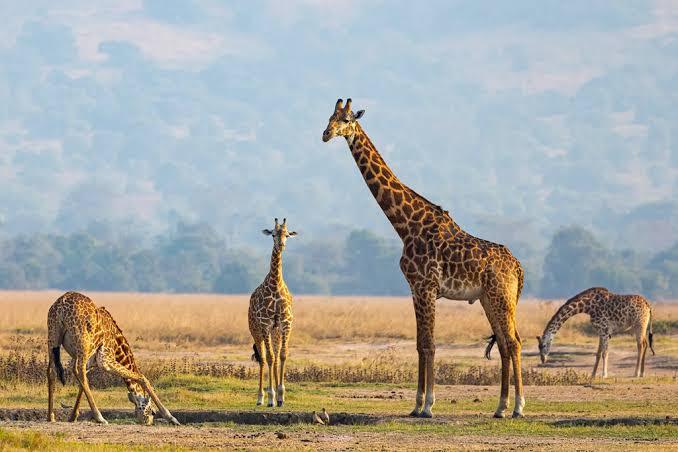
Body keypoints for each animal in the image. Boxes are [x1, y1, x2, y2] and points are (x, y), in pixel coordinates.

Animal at [47, 291, 180, 425]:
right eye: (151, 411)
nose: (149, 421)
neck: (116, 345)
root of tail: (61, 305)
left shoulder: (87, 360)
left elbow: (80, 385)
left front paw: (72, 417)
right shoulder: (104, 359)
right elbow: (142, 377)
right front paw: (171, 417)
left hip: (53, 338)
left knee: (52, 371)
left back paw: (50, 416)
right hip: (82, 342)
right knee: (78, 371)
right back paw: (100, 417)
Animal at [248, 218, 297, 407]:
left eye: (287, 235)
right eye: (273, 234)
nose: (281, 245)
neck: (275, 285)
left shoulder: (285, 324)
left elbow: (282, 355)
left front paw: (281, 395)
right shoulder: (265, 325)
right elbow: (268, 358)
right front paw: (270, 397)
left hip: (275, 332)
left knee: (275, 357)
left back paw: (275, 395)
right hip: (256, 331)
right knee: (263, 359)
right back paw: (261, 397)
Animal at [322, 98, 525, 418]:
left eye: (346, 120)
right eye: (329, 117)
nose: (326, 134)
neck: (406, 225)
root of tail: (518, 267)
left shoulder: (426, 287)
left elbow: (429, 345)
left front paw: (428, 405)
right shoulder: (415, 289)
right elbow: (420, 344)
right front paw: (416, 405)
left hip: (501, 296)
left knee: (514, 342)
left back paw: (517, 407)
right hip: (488, 298)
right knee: (505, 344)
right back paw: (501, 407)